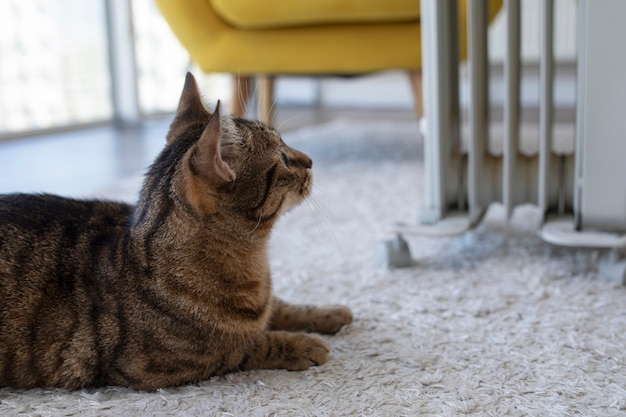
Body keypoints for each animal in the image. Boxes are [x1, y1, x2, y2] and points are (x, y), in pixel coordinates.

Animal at [0, 72, 352, 390]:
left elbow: (281, 306)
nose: (310, 160)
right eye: (283, 158)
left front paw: (328, 313)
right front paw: (301, 344)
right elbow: (245, 346)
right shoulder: (163, 367)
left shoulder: (266, 303)